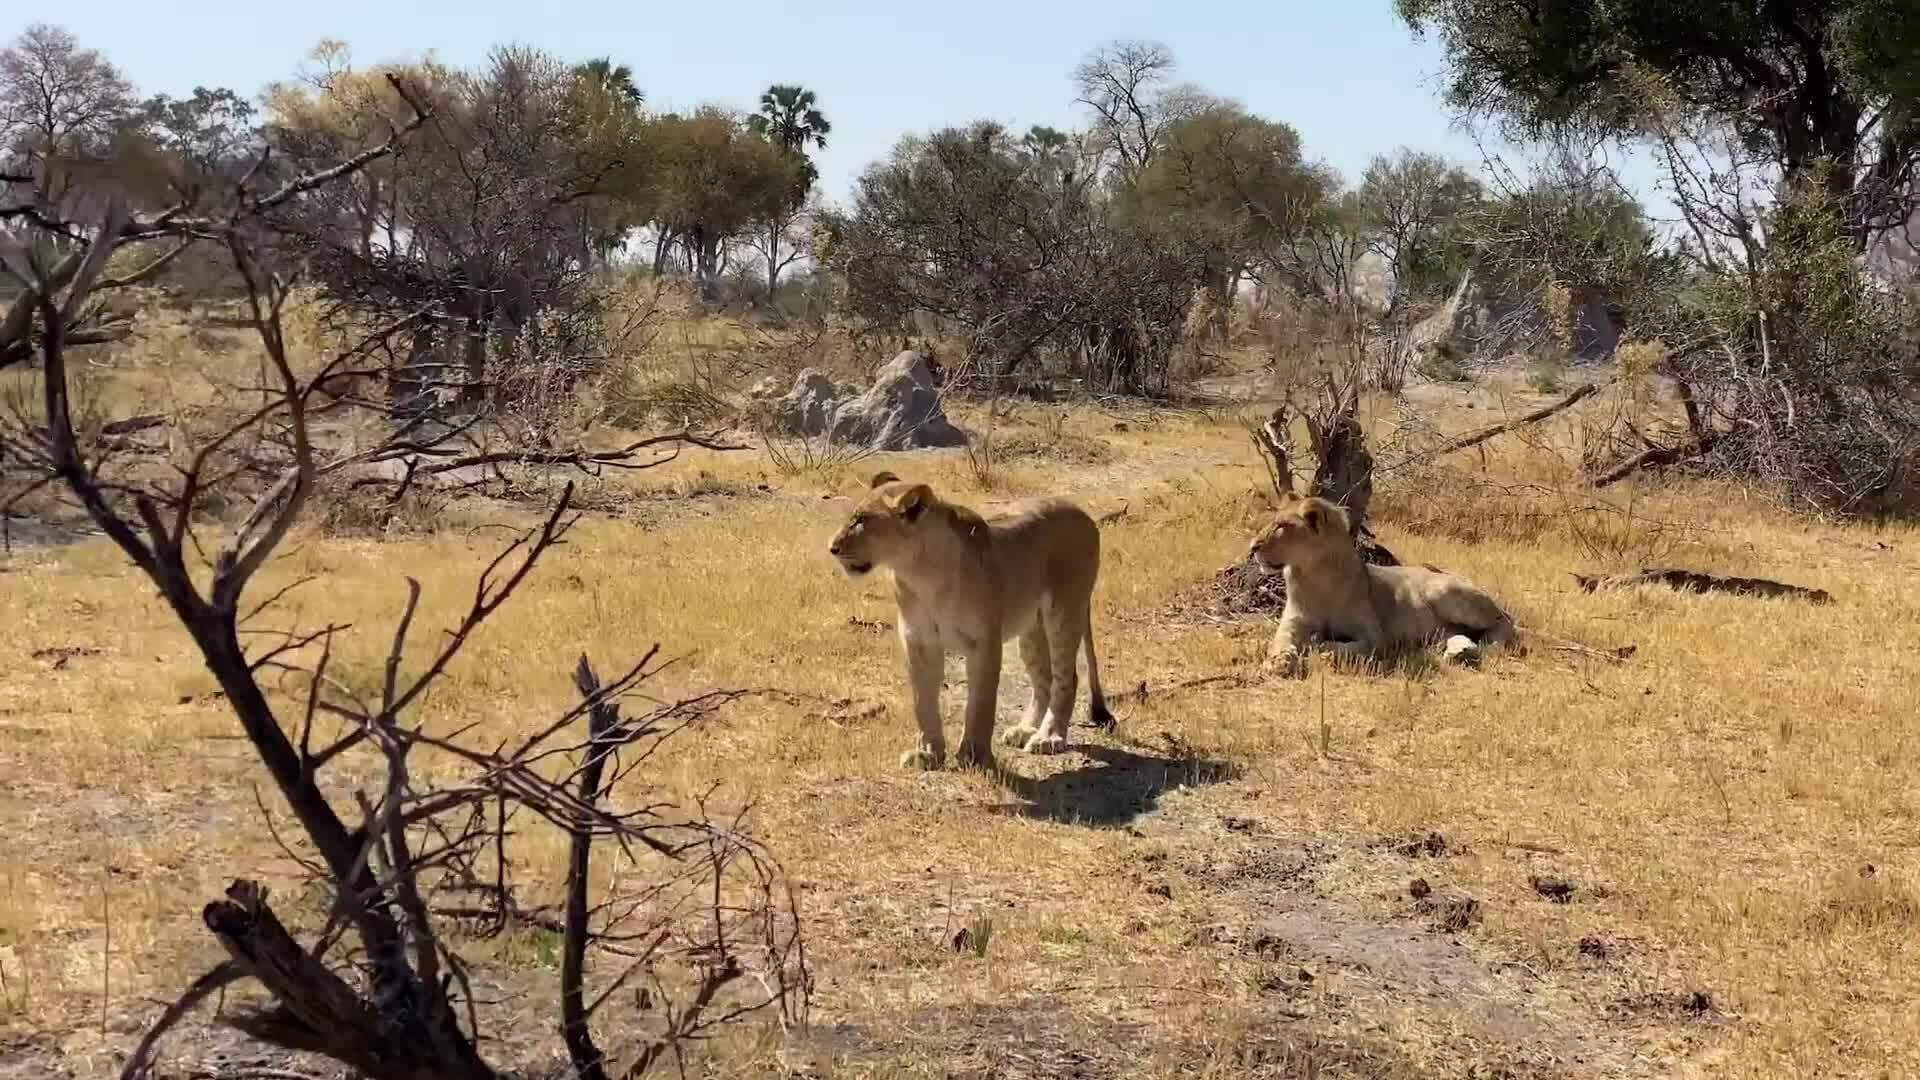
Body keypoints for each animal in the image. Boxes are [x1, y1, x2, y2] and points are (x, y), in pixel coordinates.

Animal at [827, 471, 1115, 770]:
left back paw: (1048, 737)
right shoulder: (918, 641)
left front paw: (974, 754)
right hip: (1032, 628)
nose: (832, 548)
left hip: (1064, 611)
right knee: (1044, 678)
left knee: (1067, 678)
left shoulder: (984, 641)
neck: (919, 572)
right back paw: (1024, 730)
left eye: (861, 520)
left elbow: (980, 703)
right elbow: (923, 702)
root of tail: (1083, 513)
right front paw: (927, 753)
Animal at [1248, 494, 1514, 676]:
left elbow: (1351, 647)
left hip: (1443, 591)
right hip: (1441, 628)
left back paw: (1488, 646)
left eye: (1282, 526)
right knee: (1458, 635)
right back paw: (1459, 652)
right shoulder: (1292, 621)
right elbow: (1280, 641)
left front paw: (1321, 648)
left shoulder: (1375, 637)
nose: (1252, 547)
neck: (1314, 576)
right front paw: (1279, 662)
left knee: (1504, 621)